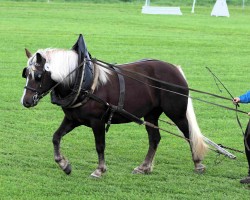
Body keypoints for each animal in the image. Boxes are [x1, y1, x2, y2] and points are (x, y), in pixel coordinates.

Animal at [21, 46, 207, 177]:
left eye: (38, 75)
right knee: (154, 139)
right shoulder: (72, 119)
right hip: (151, 114)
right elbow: (56, 137)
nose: (26, 101)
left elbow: (100, 146)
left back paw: (198, 163)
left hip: (177, 113)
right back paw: (144, 167)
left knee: (188, 134)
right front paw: (64, 164)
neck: (82, 81)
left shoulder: (97, 121)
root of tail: (175, 69)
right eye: (26, 74)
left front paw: (100, 170)